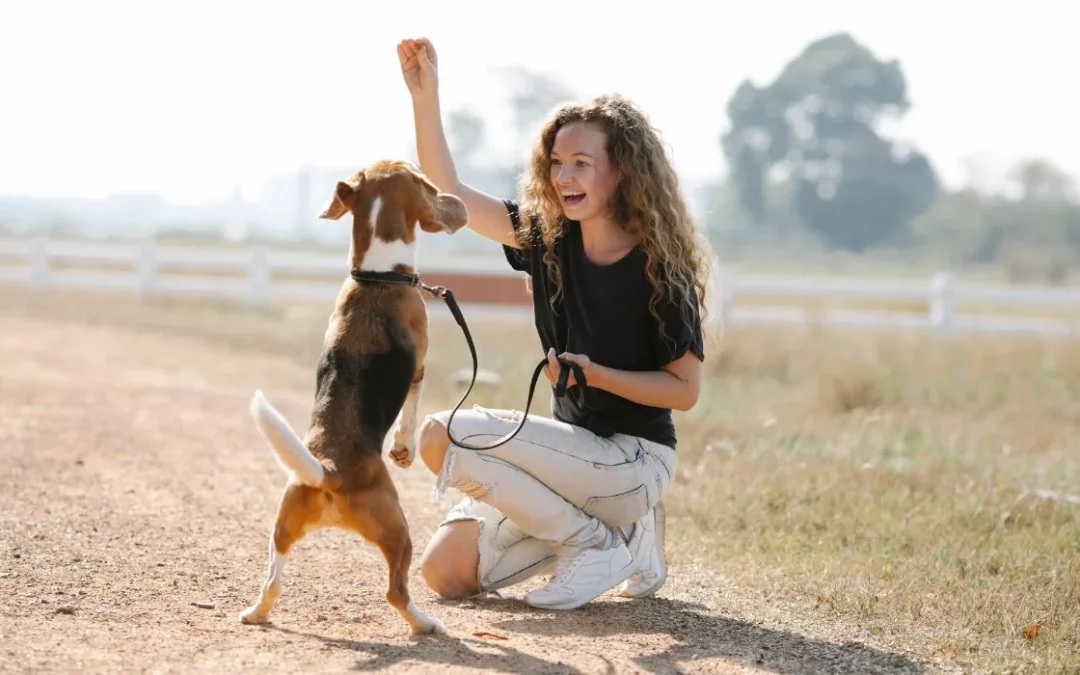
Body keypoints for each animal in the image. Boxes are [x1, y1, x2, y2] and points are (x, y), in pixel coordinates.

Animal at [238, 160, 466, 635]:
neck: (377, 277)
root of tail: (329, 470)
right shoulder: (419, 368)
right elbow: (410, 415)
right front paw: (403, 450)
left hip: (281, 527)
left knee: (272, 582)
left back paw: (256, 613)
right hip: (399, 530)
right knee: (396, 591)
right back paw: (425, 624)